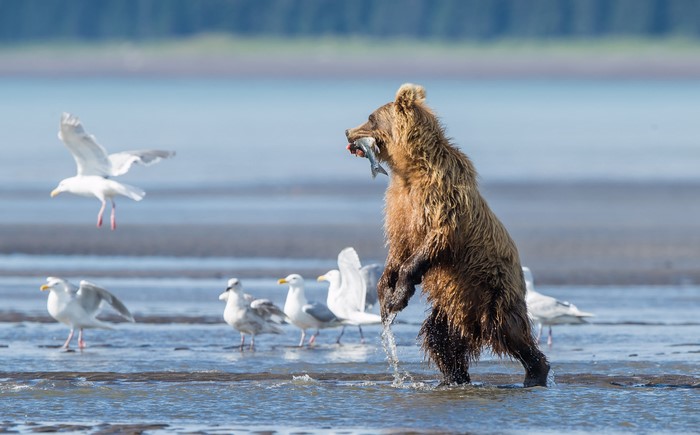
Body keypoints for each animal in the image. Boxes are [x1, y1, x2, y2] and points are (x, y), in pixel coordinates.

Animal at [345, 83, 550, 387]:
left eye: (370, 118)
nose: (347, 131)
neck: (410, 170)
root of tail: (472, 324)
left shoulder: (442, 199)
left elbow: (434, 242)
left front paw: (398, 296)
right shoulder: (399, 207)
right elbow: (398, 247)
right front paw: (385, 290)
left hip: (494, 290)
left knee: (510, 332)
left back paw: (535, 372)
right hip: (452, 304)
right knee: (440, 338)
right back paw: (454, 377)